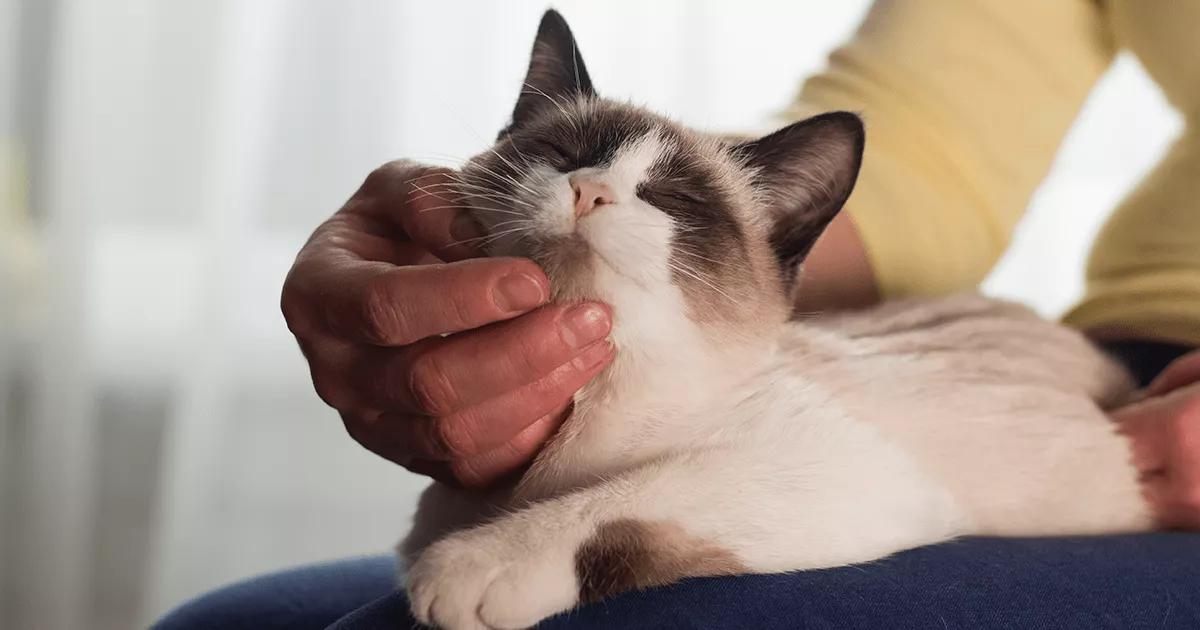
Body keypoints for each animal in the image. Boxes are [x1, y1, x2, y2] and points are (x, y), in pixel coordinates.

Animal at [400, 11, 1152, 628]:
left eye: (673, 199)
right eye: (564, 157)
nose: (589, 192)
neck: (584, 406)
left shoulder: (823, 468)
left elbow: (616, 501)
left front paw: (470, 565)